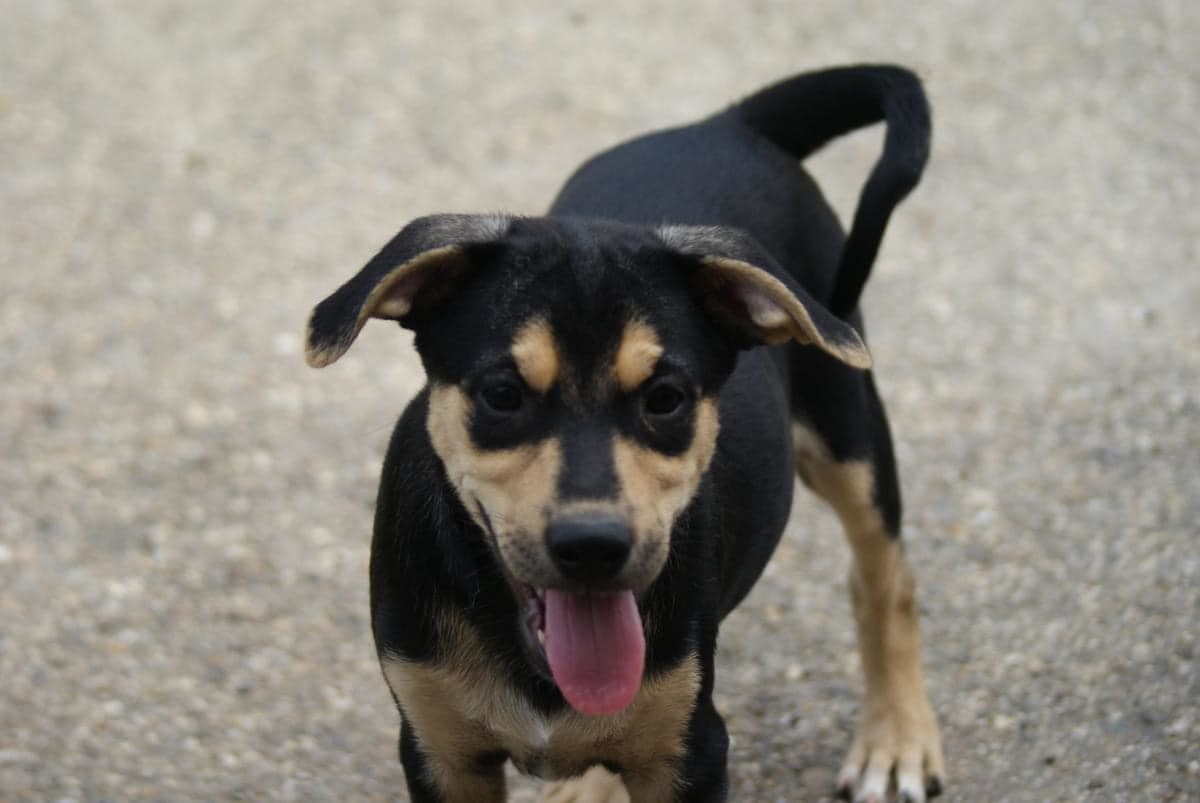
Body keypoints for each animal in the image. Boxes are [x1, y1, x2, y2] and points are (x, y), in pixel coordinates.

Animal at [305, 64, 943, 803]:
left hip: (849, 426)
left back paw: (895, 739)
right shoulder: (438, 750)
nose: (593, 545)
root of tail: (725, 124)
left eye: (665, 400)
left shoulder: (691, 747)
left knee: (885, 579)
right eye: (502, 395)